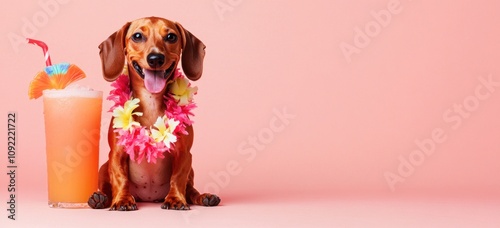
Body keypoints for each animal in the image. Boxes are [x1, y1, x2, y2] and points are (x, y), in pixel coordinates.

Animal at [88, 16, 221, 211]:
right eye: (137, 36)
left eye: (171, 37)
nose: (156, 58)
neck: (151, 100)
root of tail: (149, 198)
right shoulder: (117, 154)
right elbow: (120, 178)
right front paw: (122, 199)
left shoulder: (184, 154)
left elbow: (178, 178)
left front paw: (175, 199)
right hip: (103, 168)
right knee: (107, 187)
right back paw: (100, 198)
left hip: (191, 171)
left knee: (191, 190)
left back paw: (204, 197)